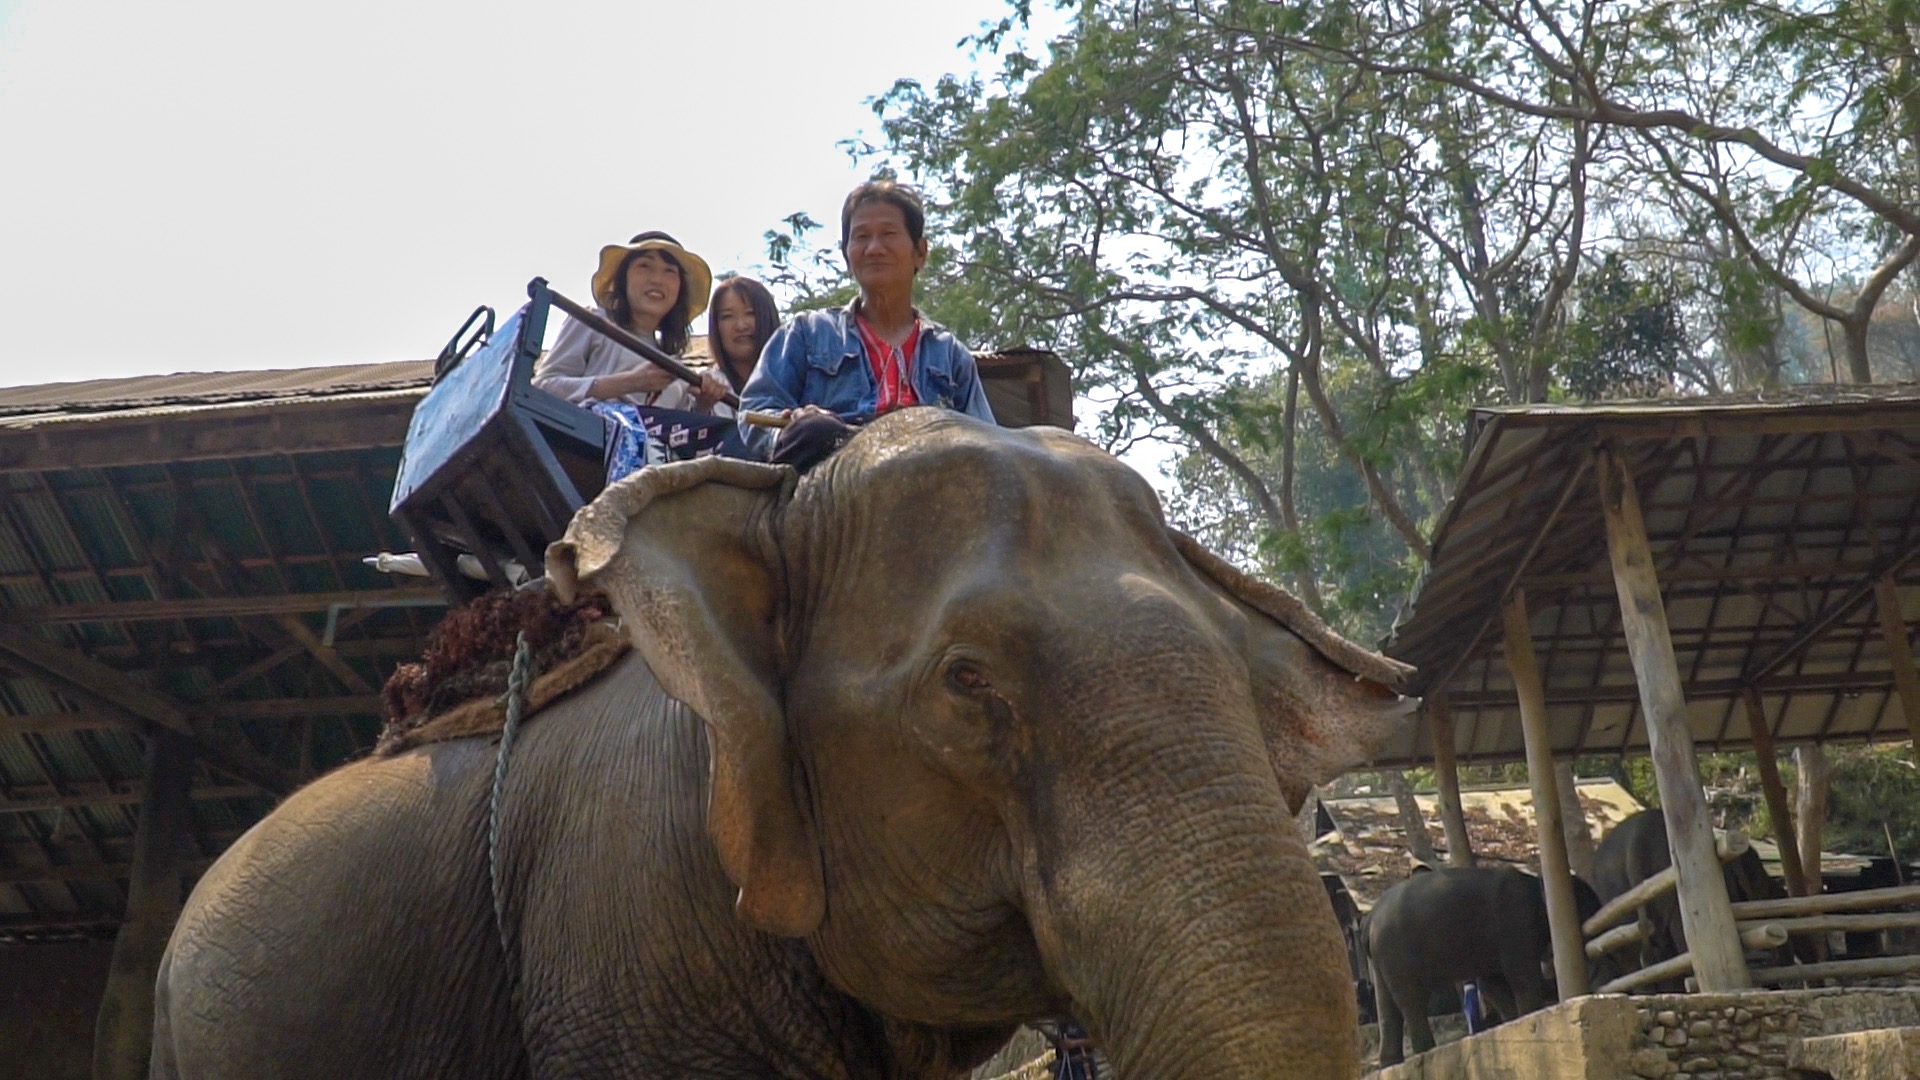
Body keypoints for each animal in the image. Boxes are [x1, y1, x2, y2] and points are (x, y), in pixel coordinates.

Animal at [1367, 857, 1605, 1060]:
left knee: (1386, 1007)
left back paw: (1391, 1061)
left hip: (1381, 959)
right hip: (1397, 952)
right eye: (1589, 906)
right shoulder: (1514, 924)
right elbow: (1521, 977)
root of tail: (1369, 918)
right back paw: (1425, 1051)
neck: (1537, 883)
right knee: (1411, 1001)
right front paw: (1530, 1015)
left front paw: (1513, 1022)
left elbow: (1493, 983)